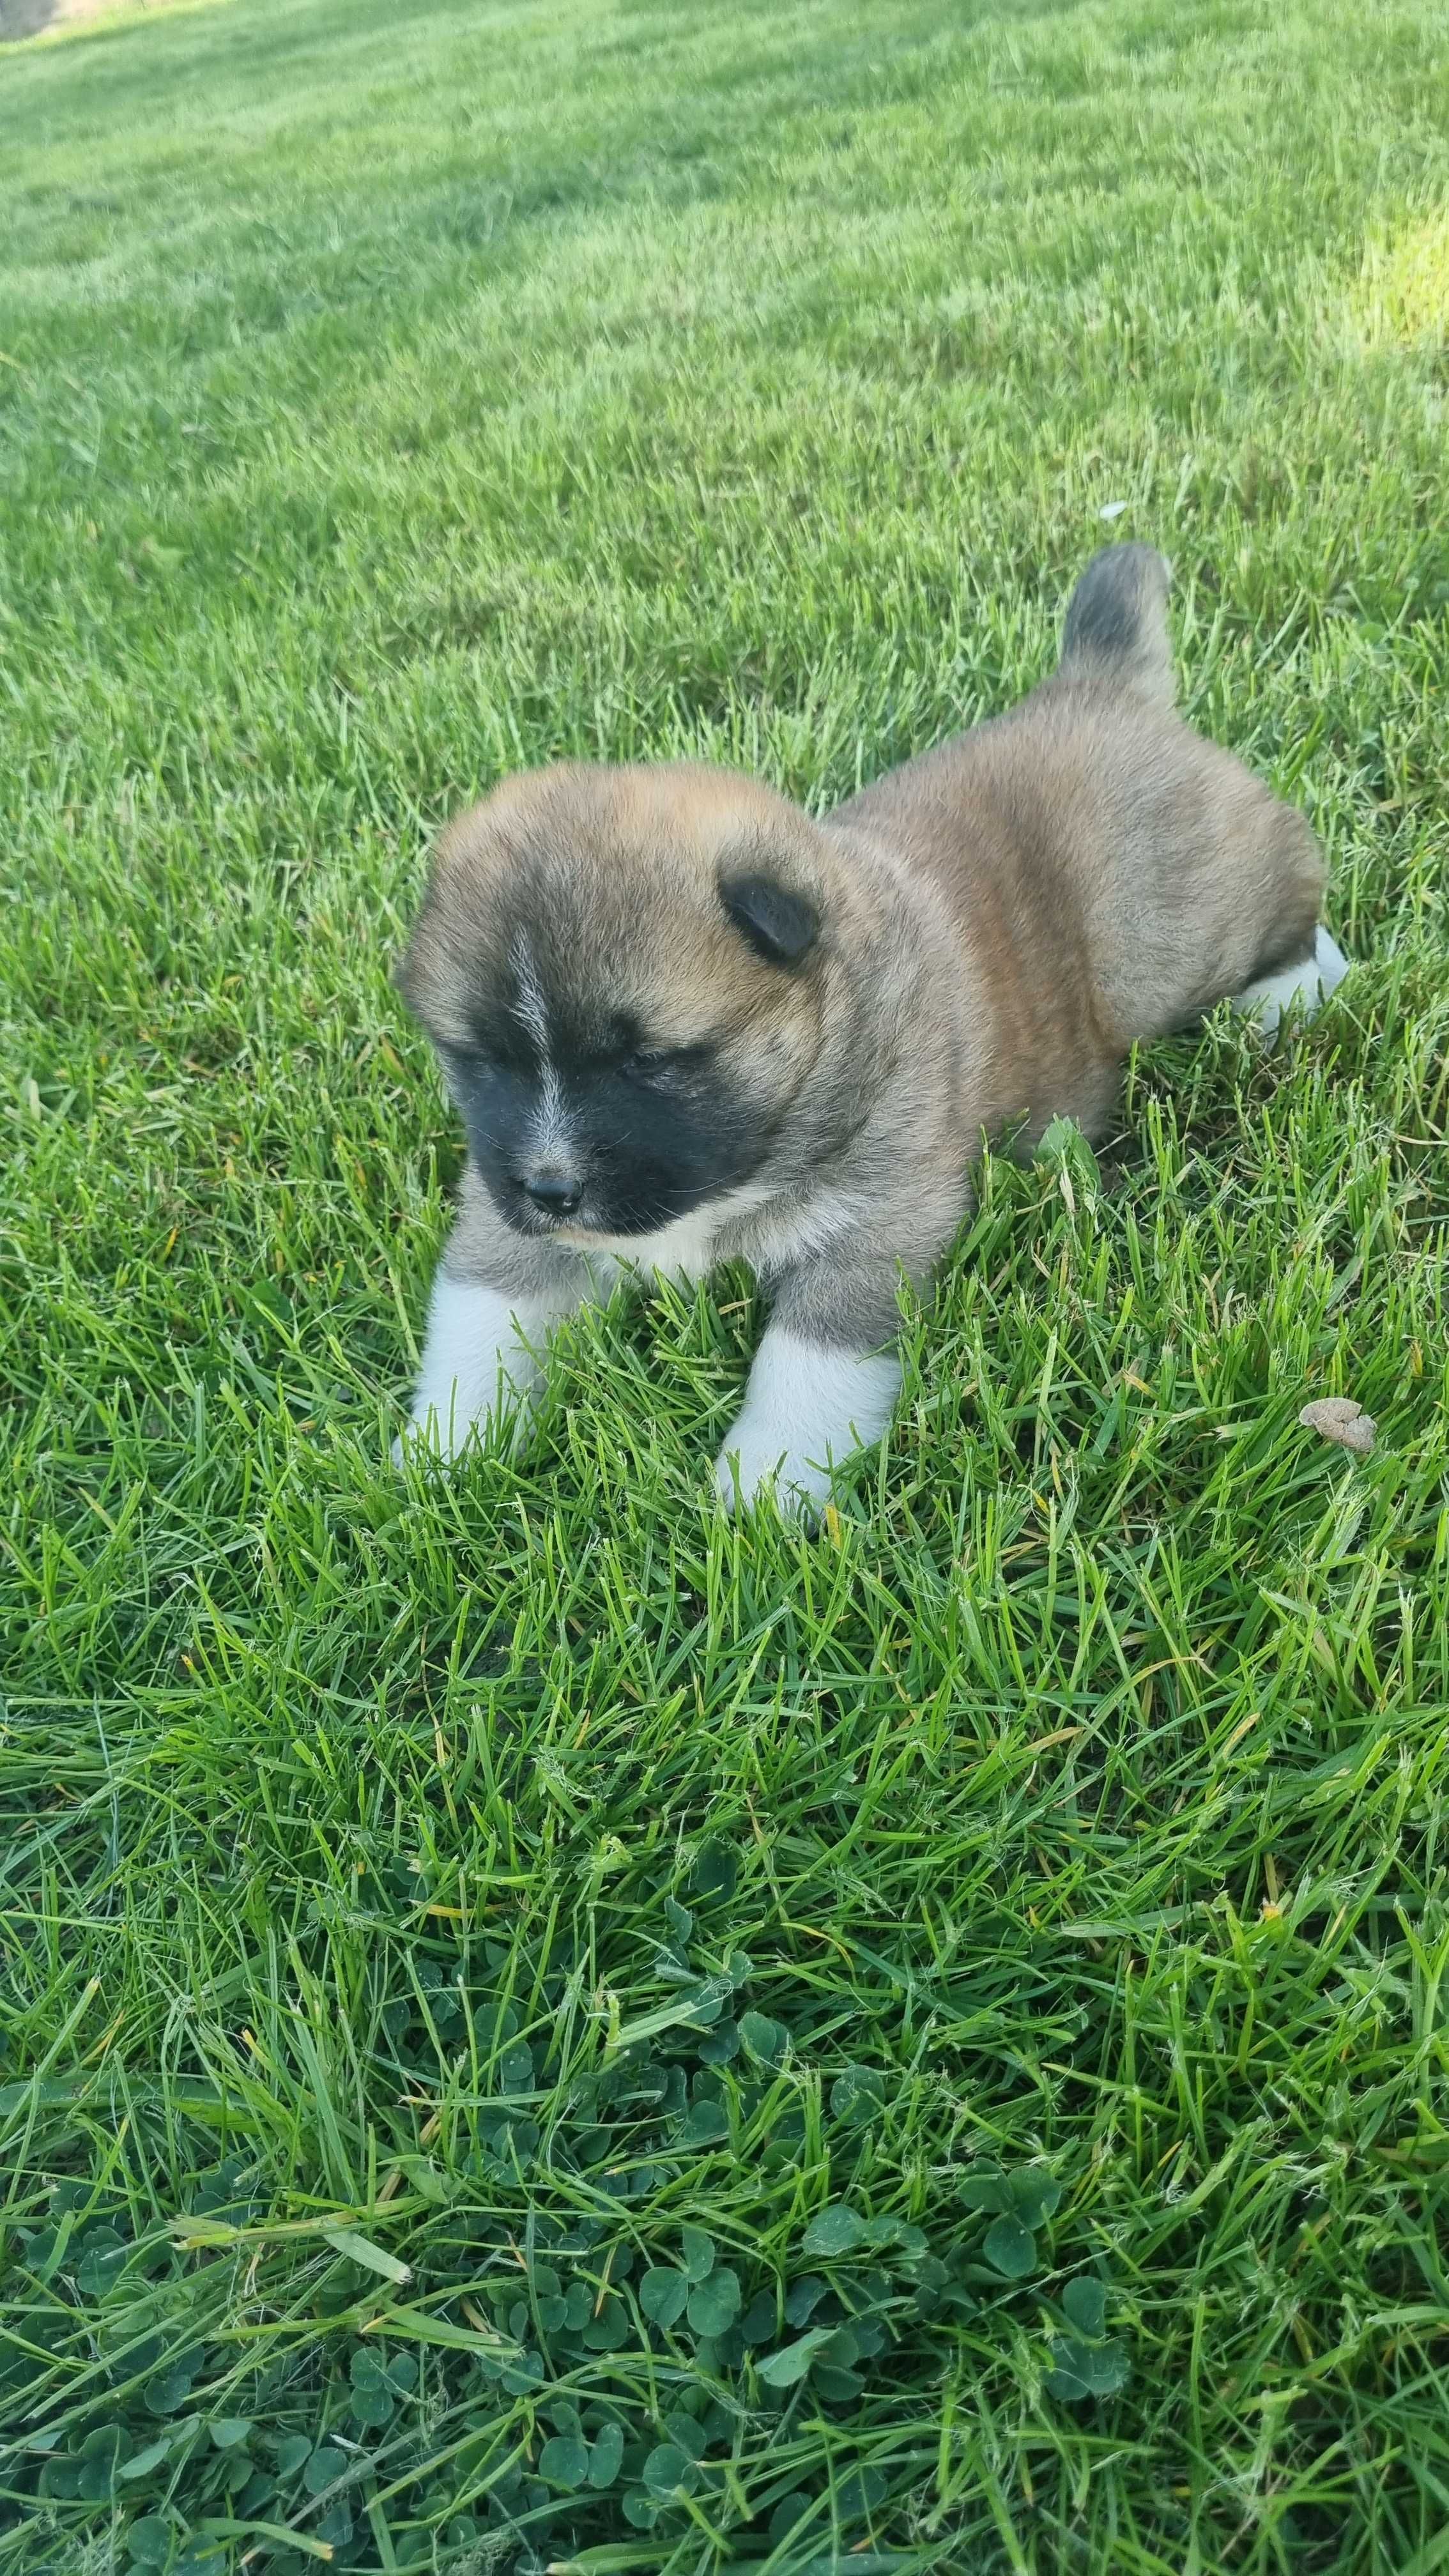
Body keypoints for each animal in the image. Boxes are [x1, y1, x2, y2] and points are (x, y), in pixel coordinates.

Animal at [392, 543, 1340, 1504]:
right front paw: (443, 1452)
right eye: (479, 1062)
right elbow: (483, 1317)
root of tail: (1097, 686)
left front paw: (764, 1489)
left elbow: (809, 1359)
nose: (550, 1191)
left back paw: (1295, 994)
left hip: (1171, 940)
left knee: (1295, 894)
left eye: (650, 1061)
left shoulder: (874, 1222)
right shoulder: (501, 1220)